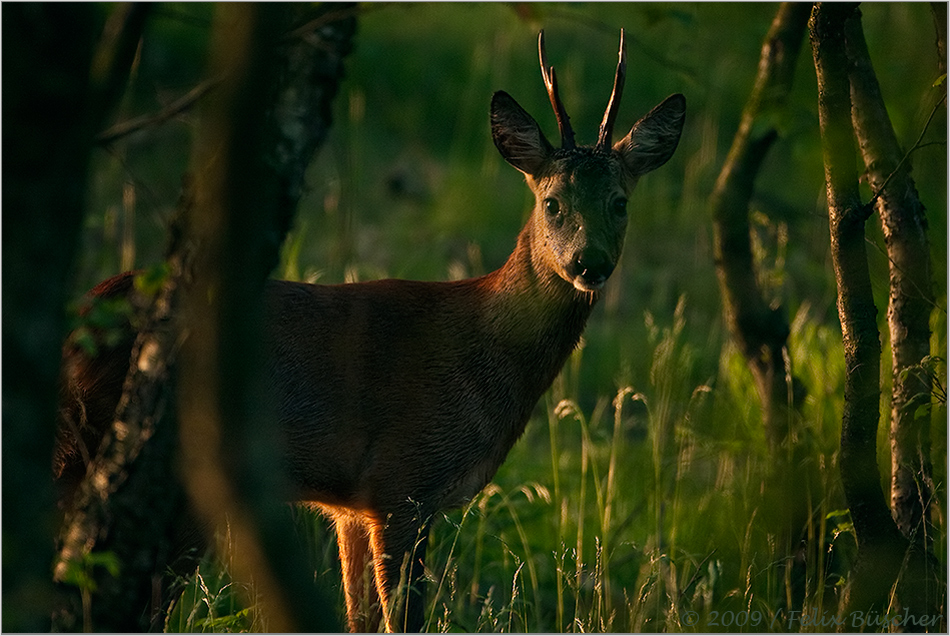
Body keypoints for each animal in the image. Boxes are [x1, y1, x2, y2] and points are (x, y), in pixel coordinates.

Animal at [54, 29, 684, 632]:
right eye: (552, 202)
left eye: (620, 202)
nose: (589, 263)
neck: (481, 353)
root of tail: (81, 321)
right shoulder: (401, 481)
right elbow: (403, 619)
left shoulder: (353, 506)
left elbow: (359, 617)